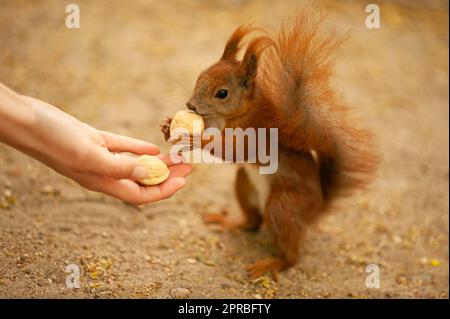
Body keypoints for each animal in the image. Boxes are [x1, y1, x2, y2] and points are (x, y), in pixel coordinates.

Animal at [160, 8, 378, 280]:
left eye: (222, 93)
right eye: (200, 76)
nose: (190, 105)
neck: (240, 113)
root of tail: (318, 207)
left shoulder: (255, 134)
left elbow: (233, 151)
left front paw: (197, 139)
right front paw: (168, 125)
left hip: (283, 207)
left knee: (292, 256)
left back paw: (270, 264)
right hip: (244, 184)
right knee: (252, 222)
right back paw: (228, 222)